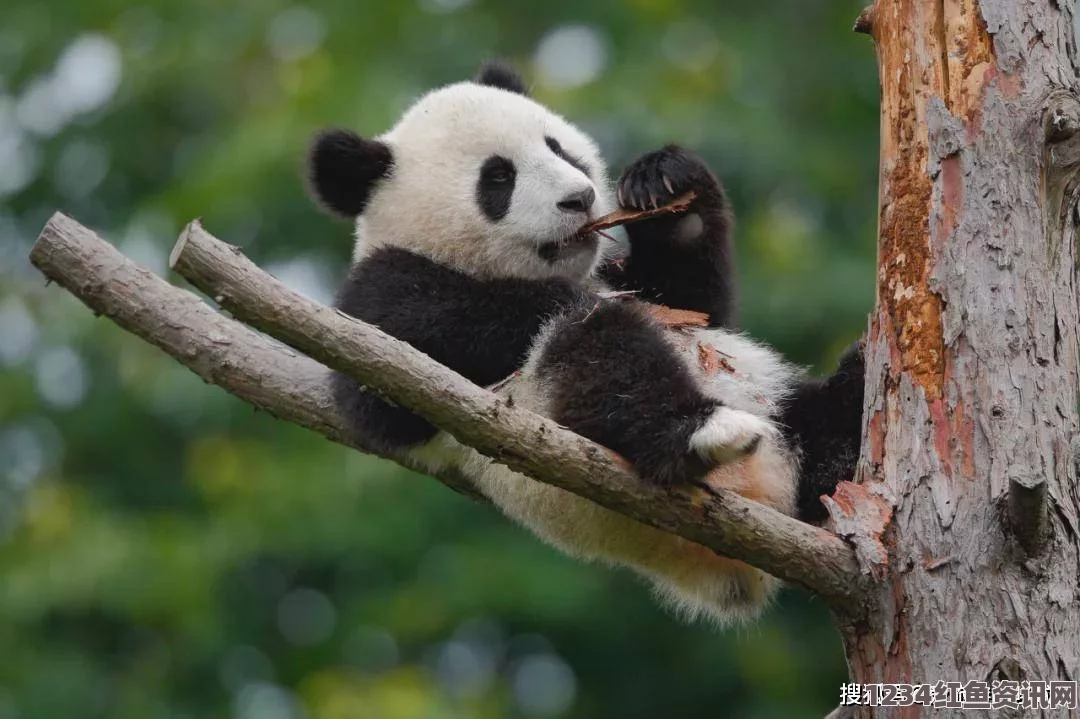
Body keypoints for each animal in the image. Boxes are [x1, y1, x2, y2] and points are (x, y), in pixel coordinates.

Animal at [308, 60, 864, 621]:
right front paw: (557, 299)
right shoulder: (377, 297)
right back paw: (698, 431)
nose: (580, 198)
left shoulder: (636, 278)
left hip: (778, 407)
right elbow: (385, 387)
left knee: (816, 418)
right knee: (603, 358)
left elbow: (696, 302)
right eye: (498, 178)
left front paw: (666, 182)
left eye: (557, 147)